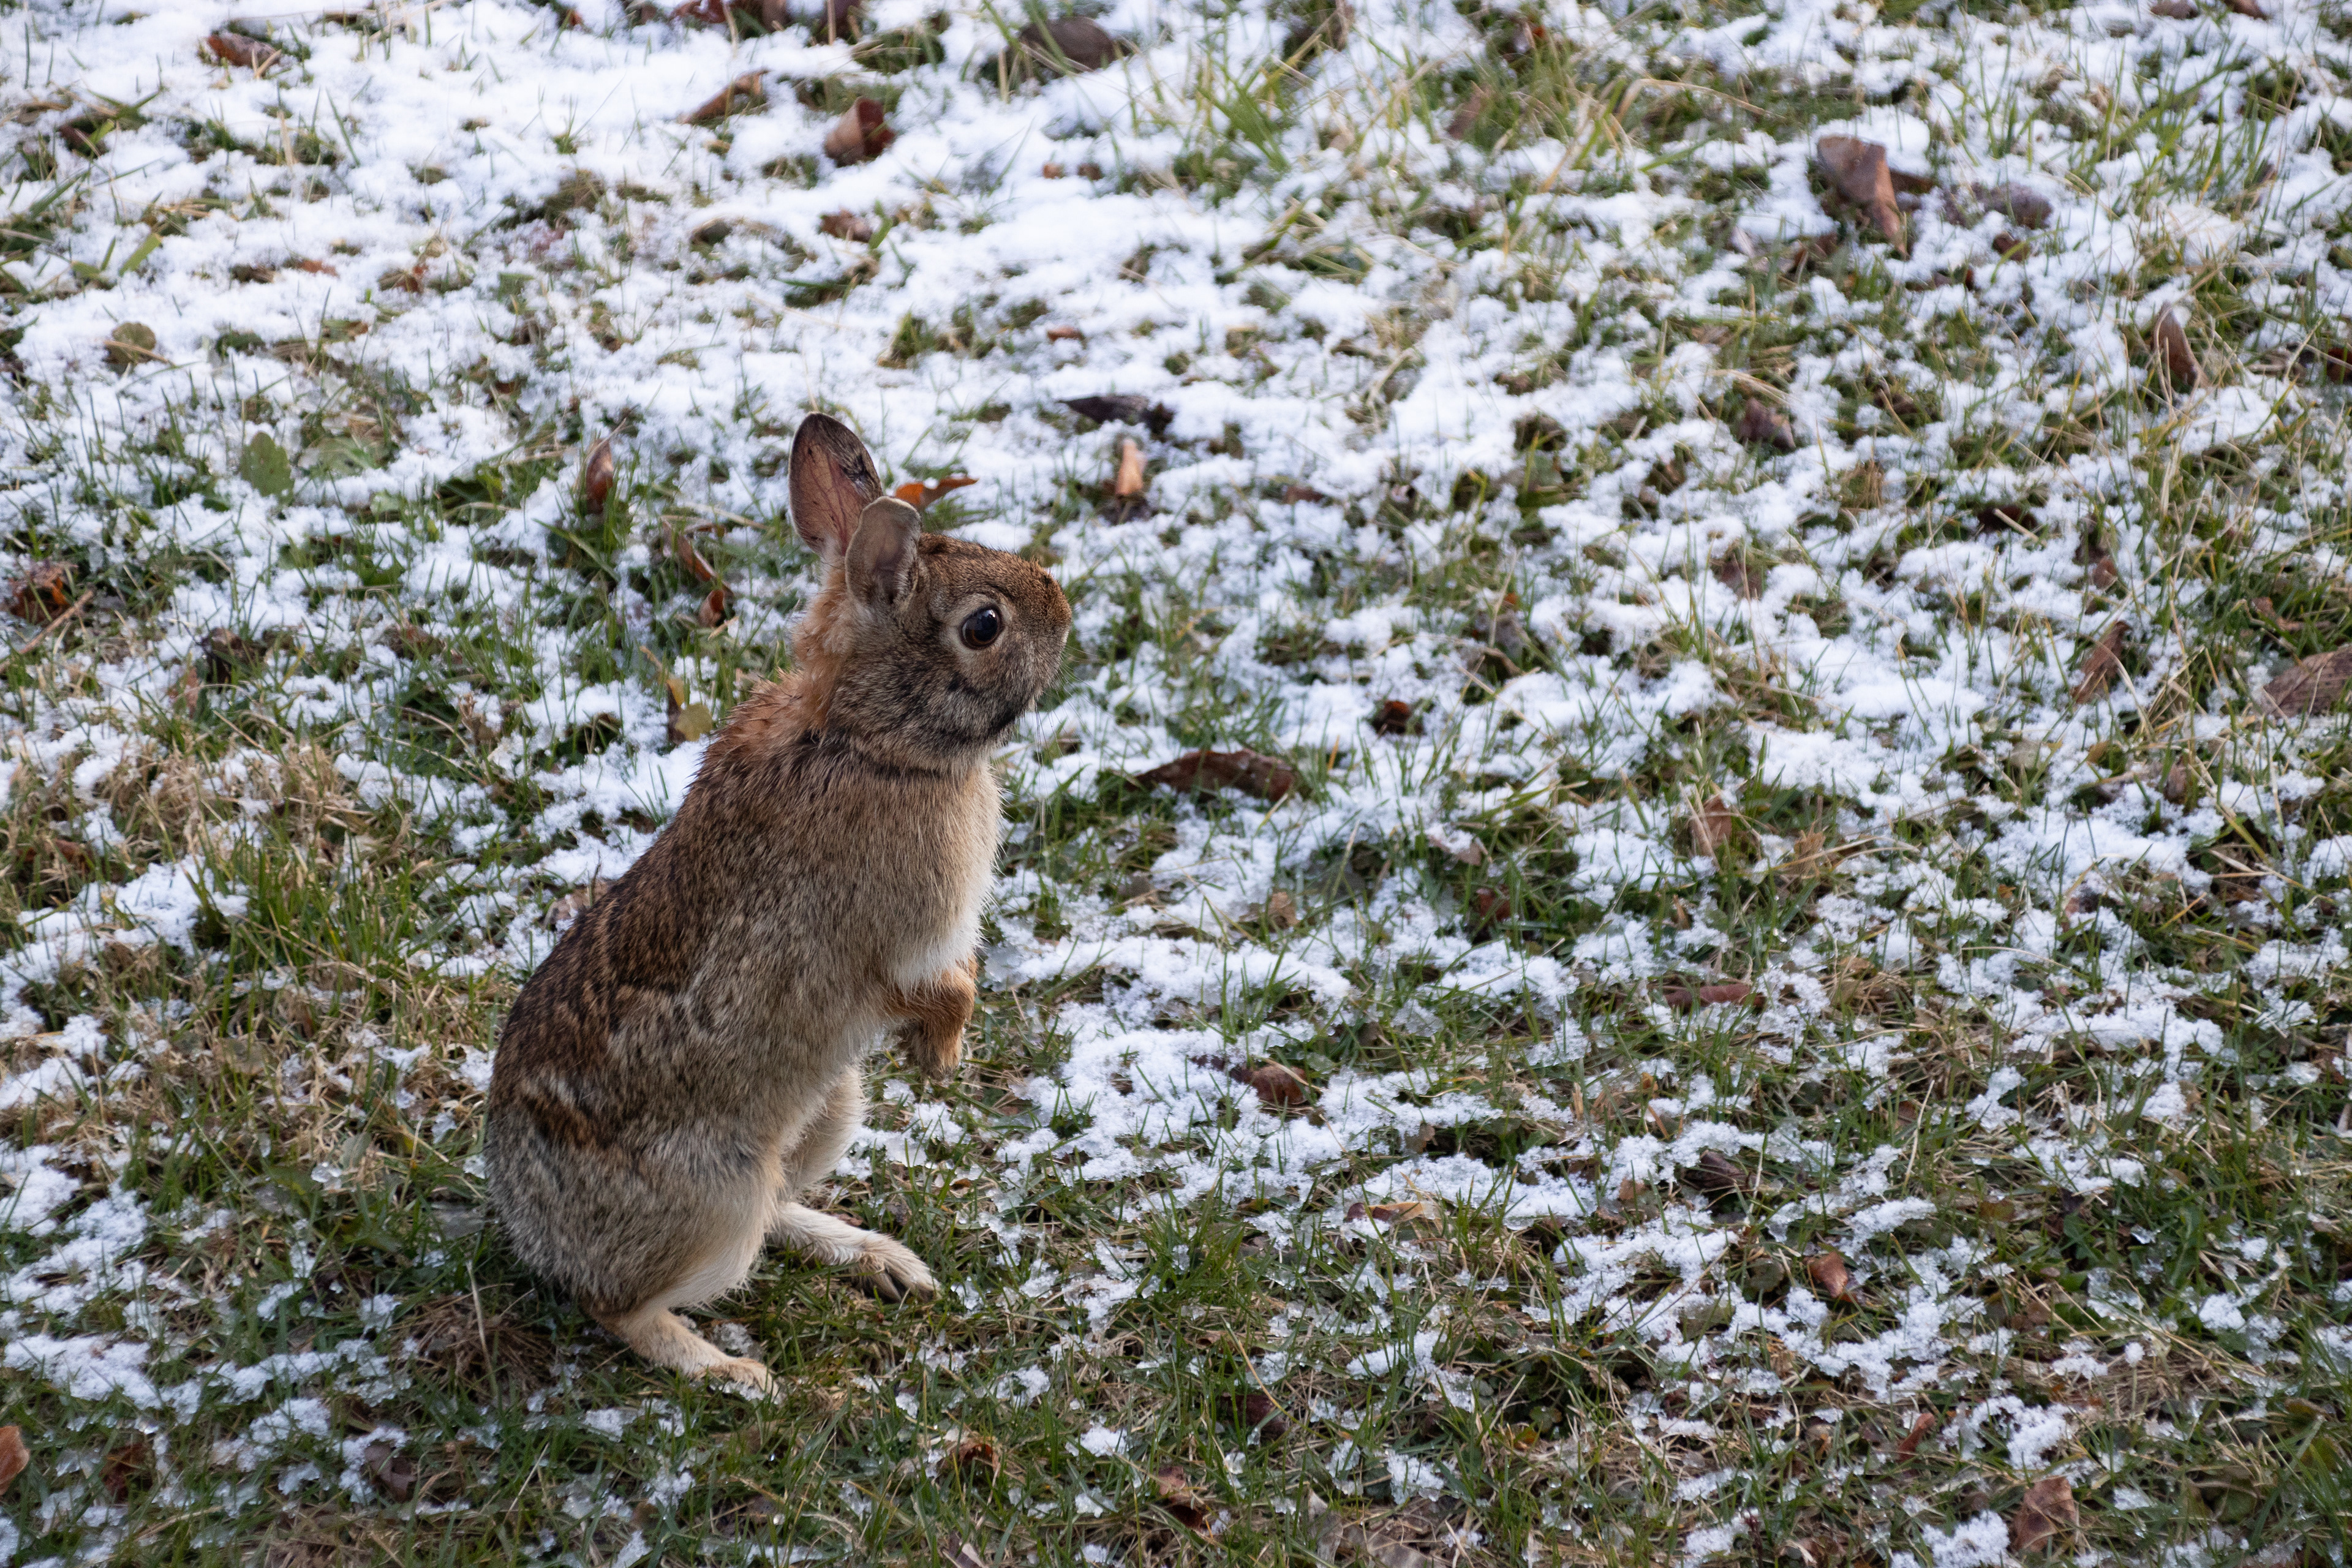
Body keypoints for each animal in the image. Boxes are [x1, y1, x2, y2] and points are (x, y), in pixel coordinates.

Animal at [483, 412, 1070, 1392]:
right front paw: (943, 1057)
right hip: (717, 1193)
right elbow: (941, 987)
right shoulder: (901, 940)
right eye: (983, 625)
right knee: (626, 1305)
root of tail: (533, 1229)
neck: (865, 738)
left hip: (830, 1109)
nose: (1064, 614)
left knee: (773, 1223)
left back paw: (879, 1258)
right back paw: (732, 1374)